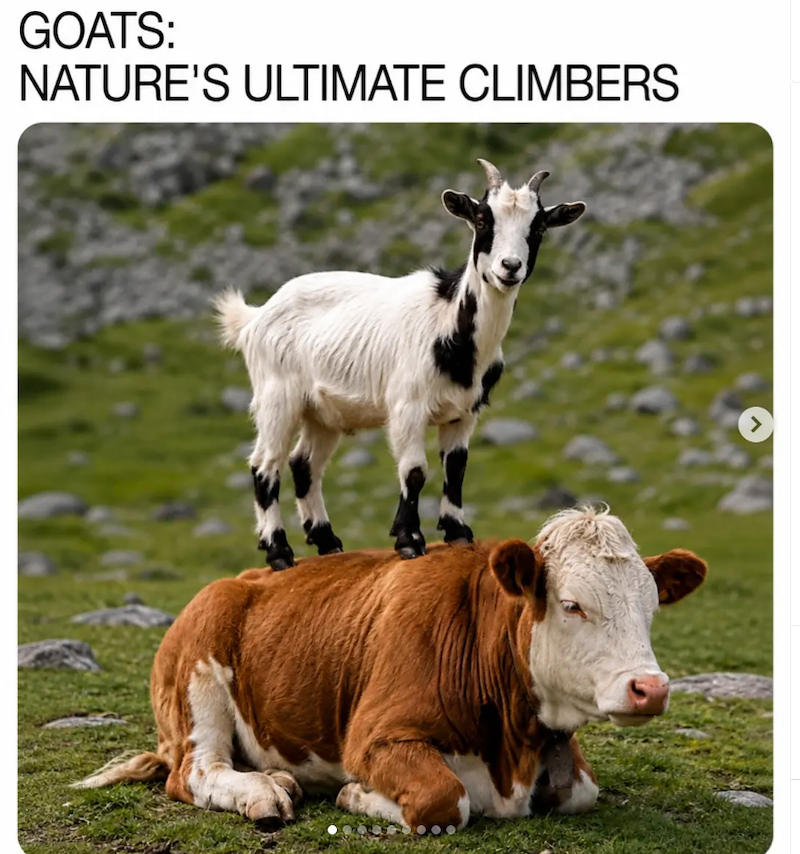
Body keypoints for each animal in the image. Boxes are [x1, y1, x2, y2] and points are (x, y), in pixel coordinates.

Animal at [214, 159, 587, 569]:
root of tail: (254, 317)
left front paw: (458, 532)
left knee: (304, 463)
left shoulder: (465, 412)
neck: (449, 324)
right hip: (276, 394)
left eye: (538, 227)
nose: (510, 267)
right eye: (482, 219)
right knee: (265, 464)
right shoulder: (407, 405)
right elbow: (414, 471)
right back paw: (279, 551)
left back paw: (327, 541)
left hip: (322, 412)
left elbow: (456, 468)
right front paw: (409, 540)